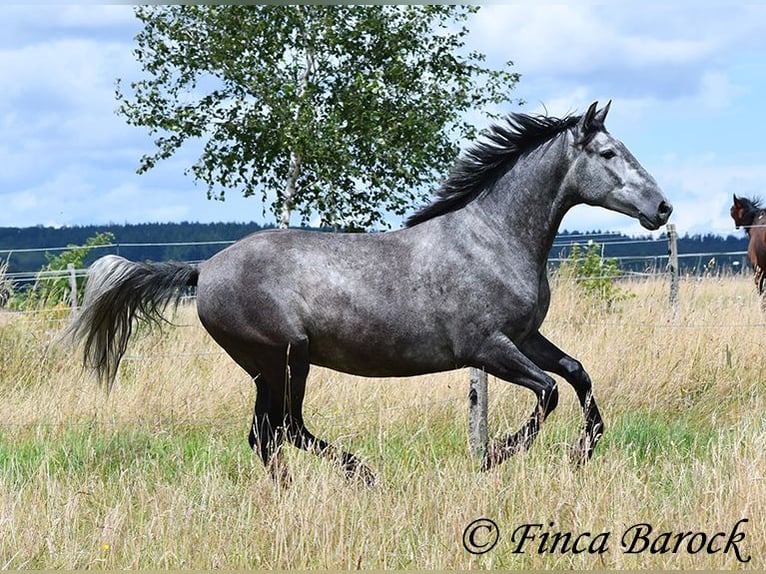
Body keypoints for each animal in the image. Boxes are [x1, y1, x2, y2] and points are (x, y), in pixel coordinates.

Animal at [69, 102, 676, 486]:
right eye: (607, 154)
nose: (663, 207)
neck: (493, 238)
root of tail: (204, 269)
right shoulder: (487, 348)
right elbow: (548, 392)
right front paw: (494, 459)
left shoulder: (525, 337)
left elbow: (578, 375)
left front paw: (582, 452)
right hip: (285, 358)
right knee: (283, 429)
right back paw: (360, 476)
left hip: (270, 367)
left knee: (268, 435)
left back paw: (298, 492)